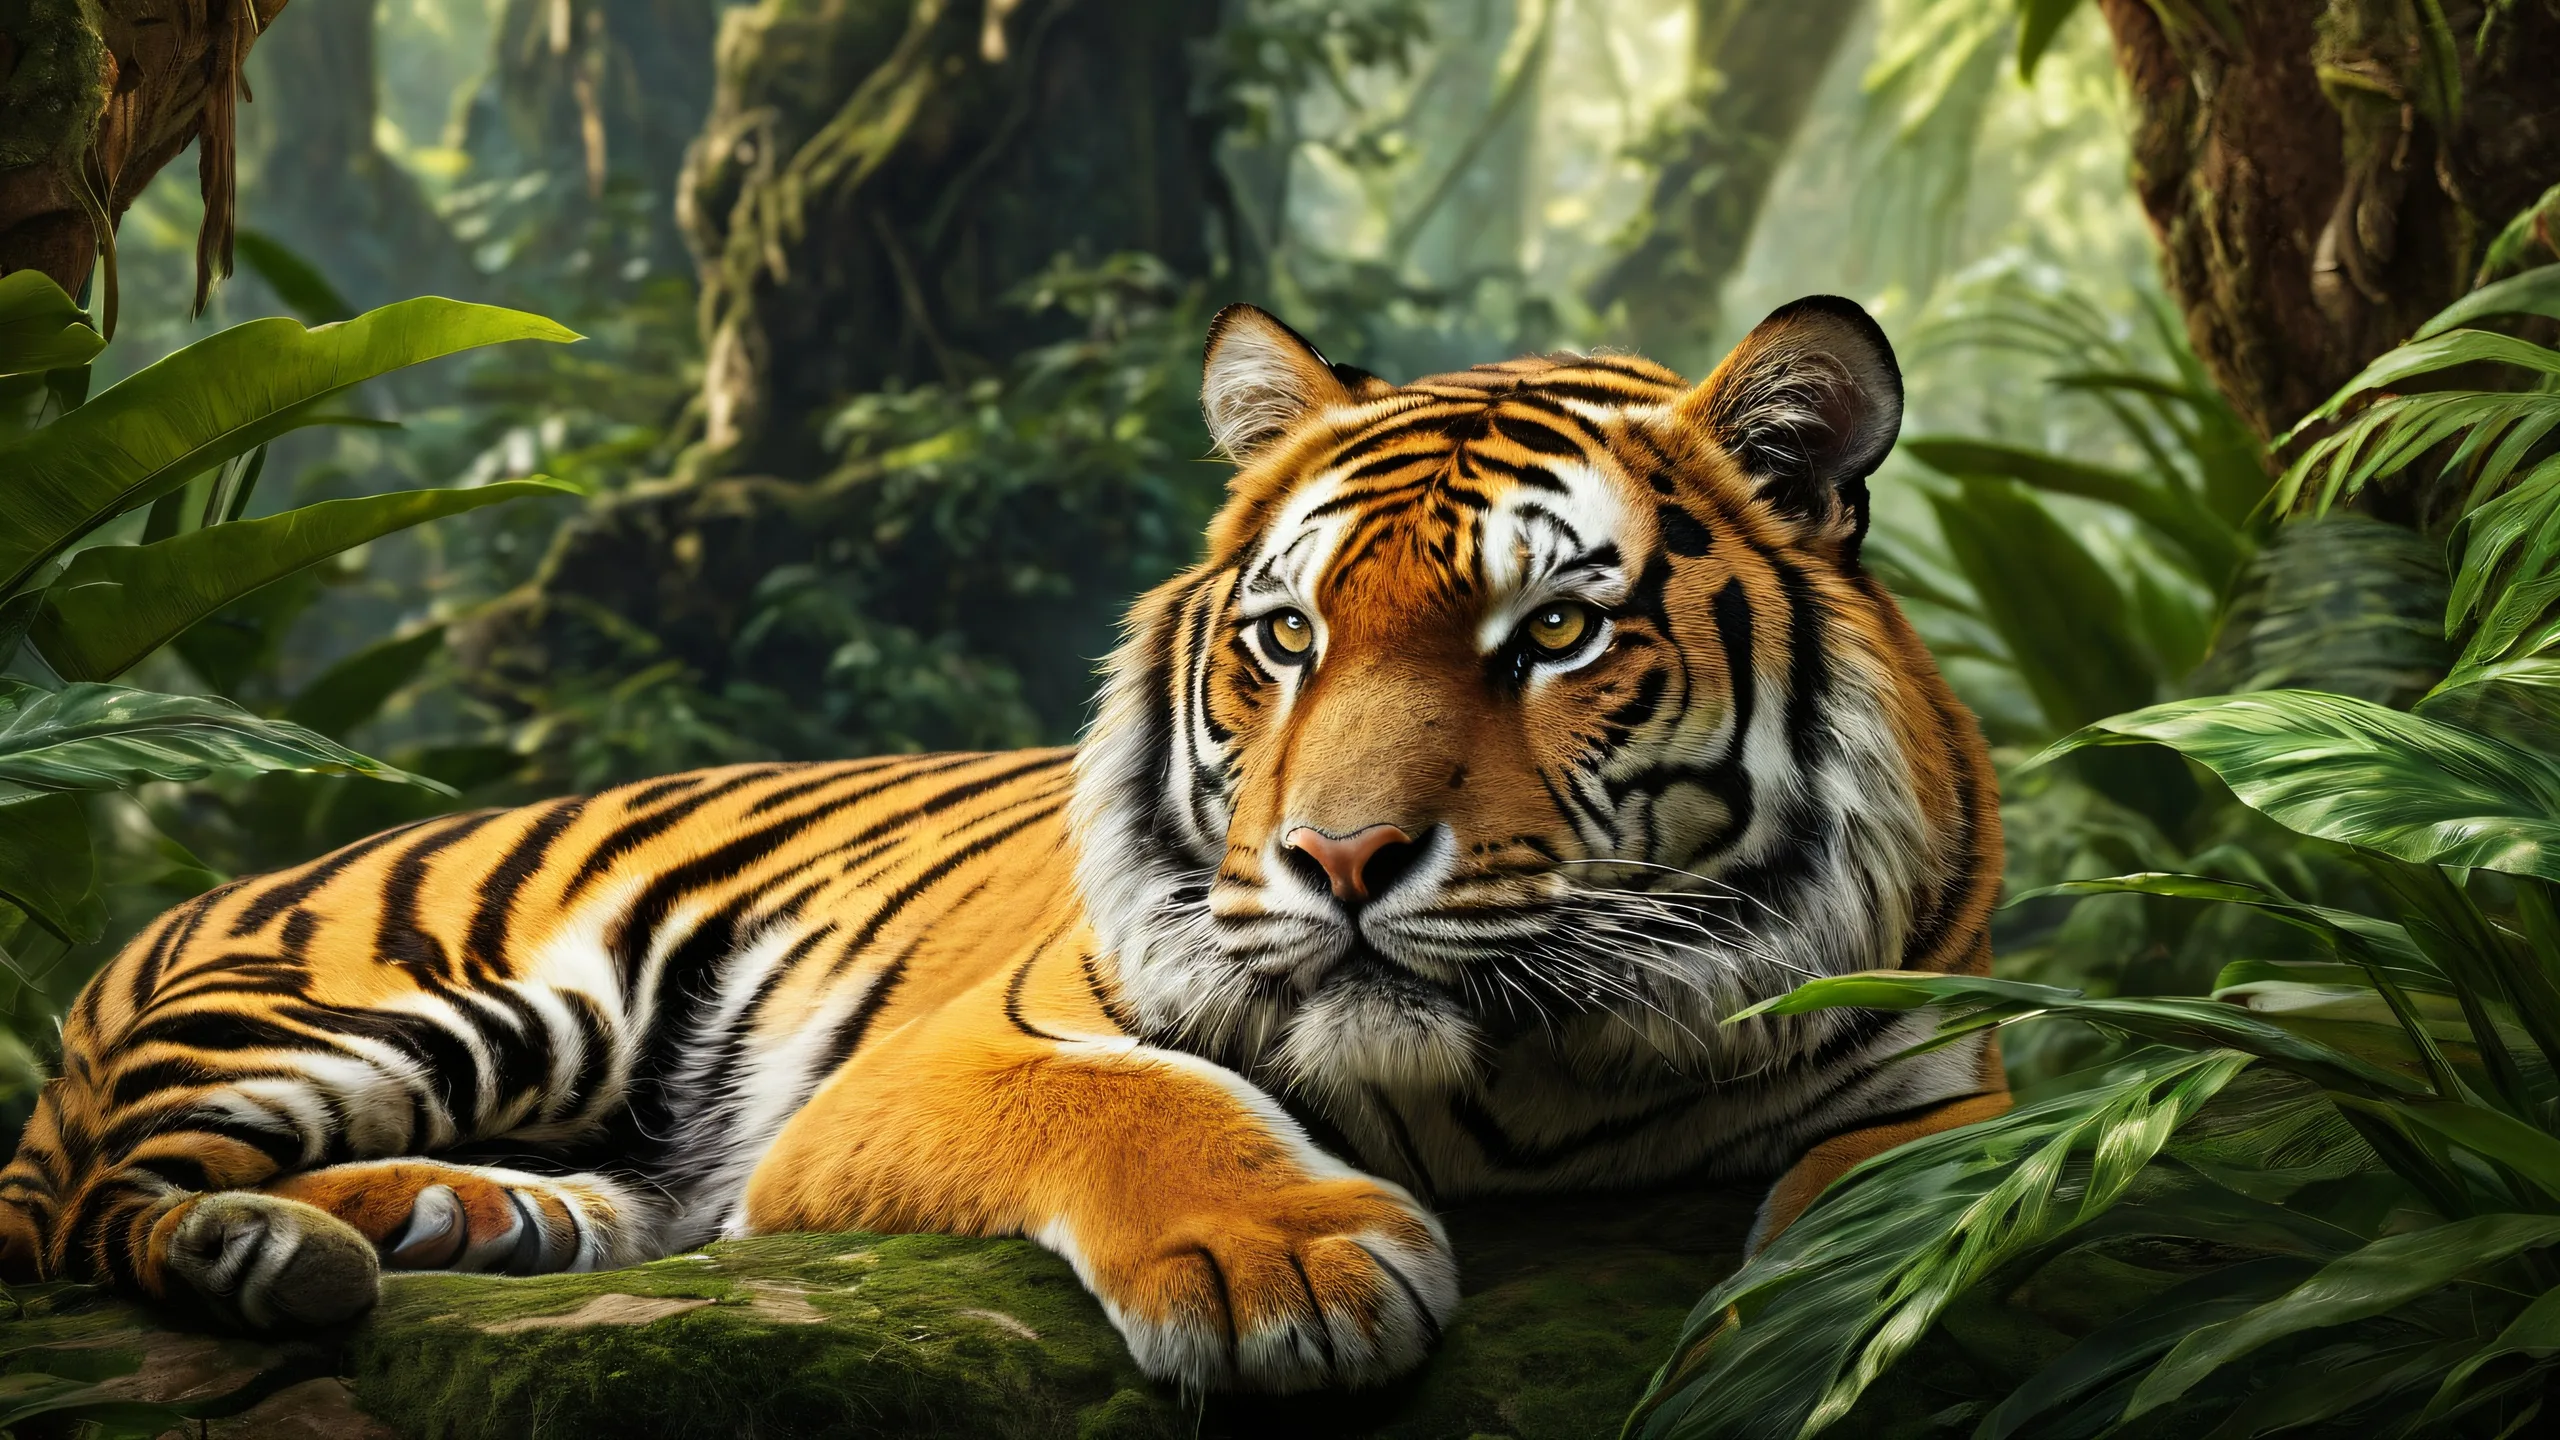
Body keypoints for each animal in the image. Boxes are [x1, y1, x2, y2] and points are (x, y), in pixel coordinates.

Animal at [0, 295, 2006, 1393]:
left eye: (1560, 636)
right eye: (1290, 639)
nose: (1340, 865)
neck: (1528, 1089)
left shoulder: (1934, 1082)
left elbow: (1893, 1217)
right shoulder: (978, 1042)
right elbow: (1145, 1102)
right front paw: (1286, 1270)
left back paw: (495, 1215)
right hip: (437, 1001)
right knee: (105, 1208)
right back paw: (290, 1250)